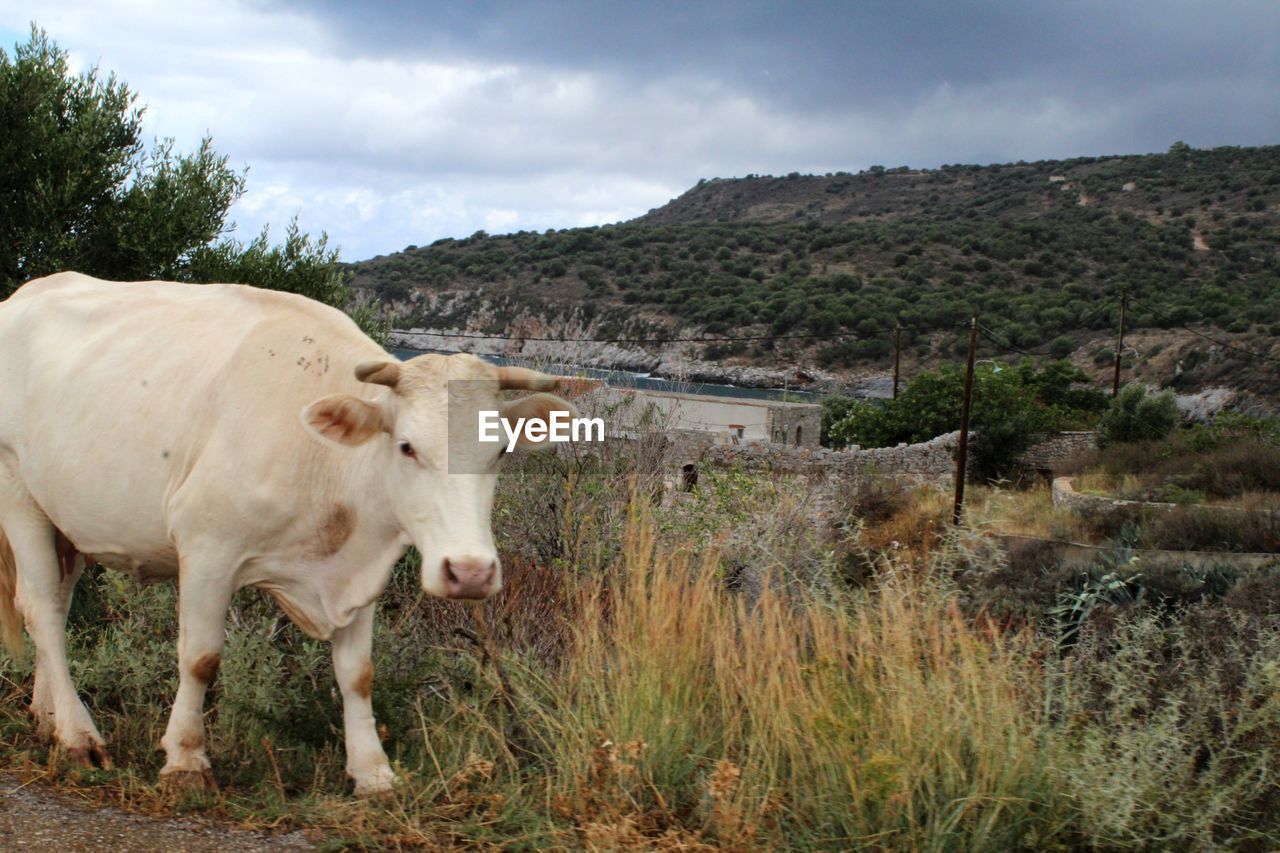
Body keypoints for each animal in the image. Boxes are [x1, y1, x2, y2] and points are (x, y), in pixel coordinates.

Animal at [0, 270, 576, 788]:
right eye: (407, 446)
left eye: (499, 449)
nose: (470, 572)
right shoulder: (207, 548)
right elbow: (200, 657)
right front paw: (186, 759)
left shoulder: (362, 567)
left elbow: (358, 673)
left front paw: (373, 771)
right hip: (19, 497)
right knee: (42, 608)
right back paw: (78, 736)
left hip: (66, 518)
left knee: (55, 602)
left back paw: (48, 715)